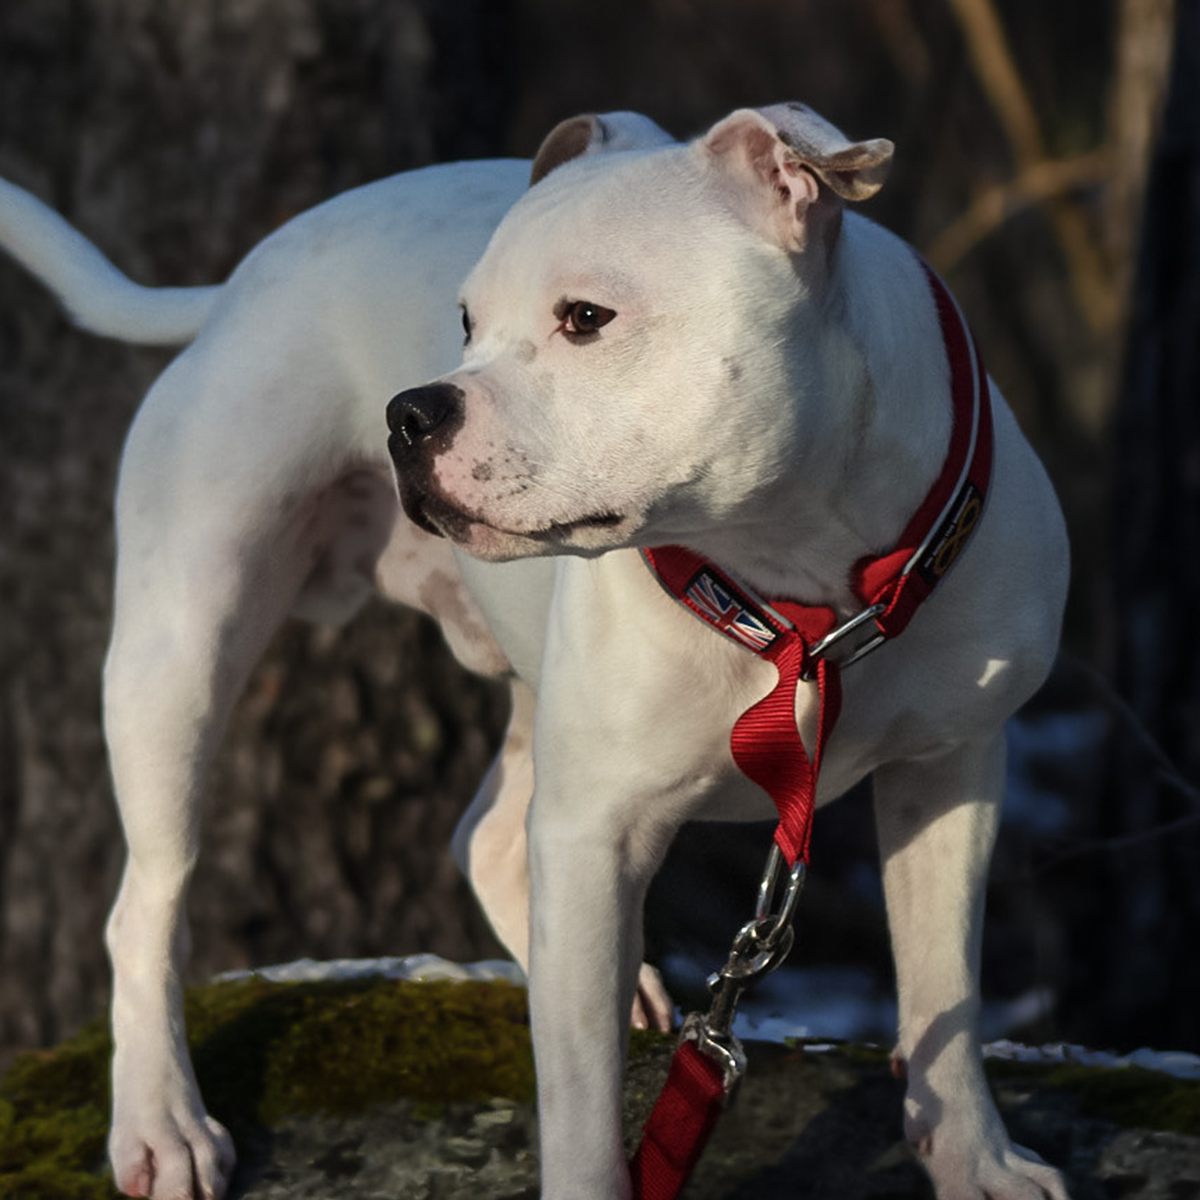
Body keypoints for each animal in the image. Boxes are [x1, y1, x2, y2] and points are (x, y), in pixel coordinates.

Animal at [0, 105, 1070, 1200]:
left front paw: (976, 1159)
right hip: (180, 646)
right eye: (466, 321)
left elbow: (944, 987)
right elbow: (584, 1119)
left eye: (586, 317)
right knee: (148, 902)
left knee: (489, 840)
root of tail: (244, 279)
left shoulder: (951, 771)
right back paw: (161, 1121)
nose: (410, 410)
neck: (796, 575)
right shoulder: (597, 831)